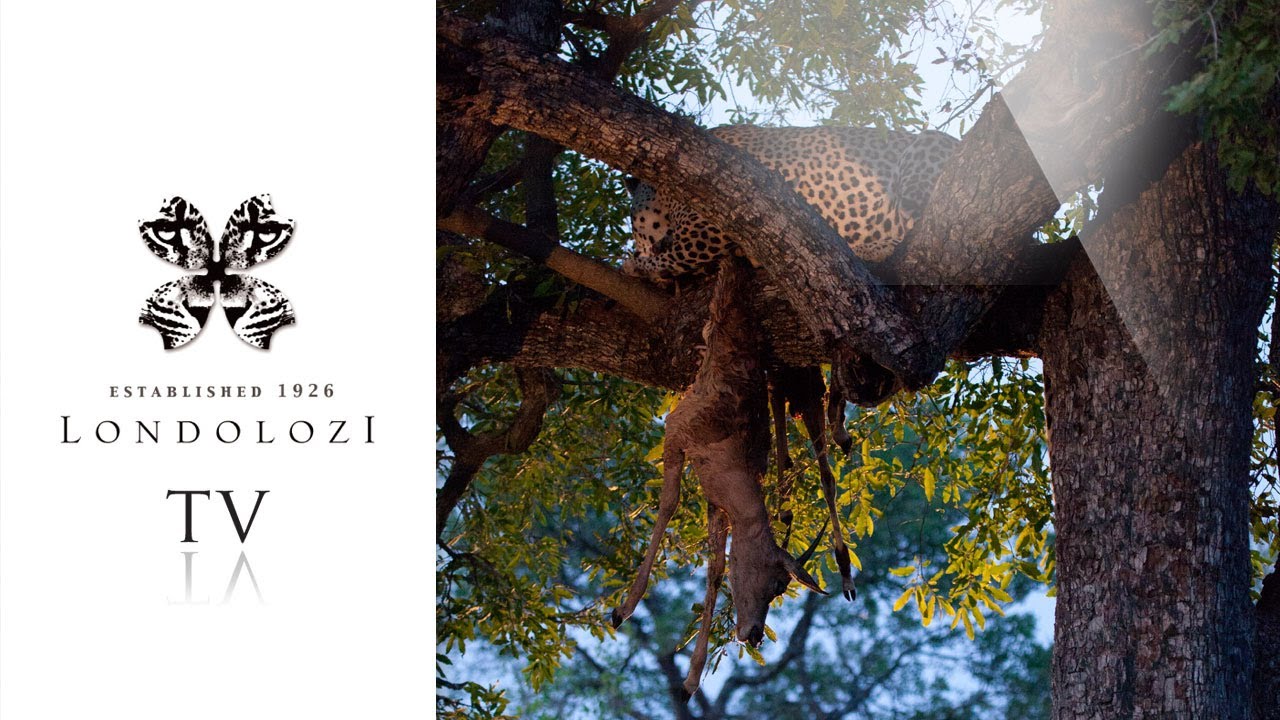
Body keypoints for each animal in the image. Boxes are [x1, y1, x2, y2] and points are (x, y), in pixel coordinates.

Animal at [622, 125, 959, 280]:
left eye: (634, 227)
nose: (637, 248)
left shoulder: (709, 228)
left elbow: (675, 256)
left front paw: (634, 265)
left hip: (928, 146)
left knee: (922, 227)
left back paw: (872, 249)